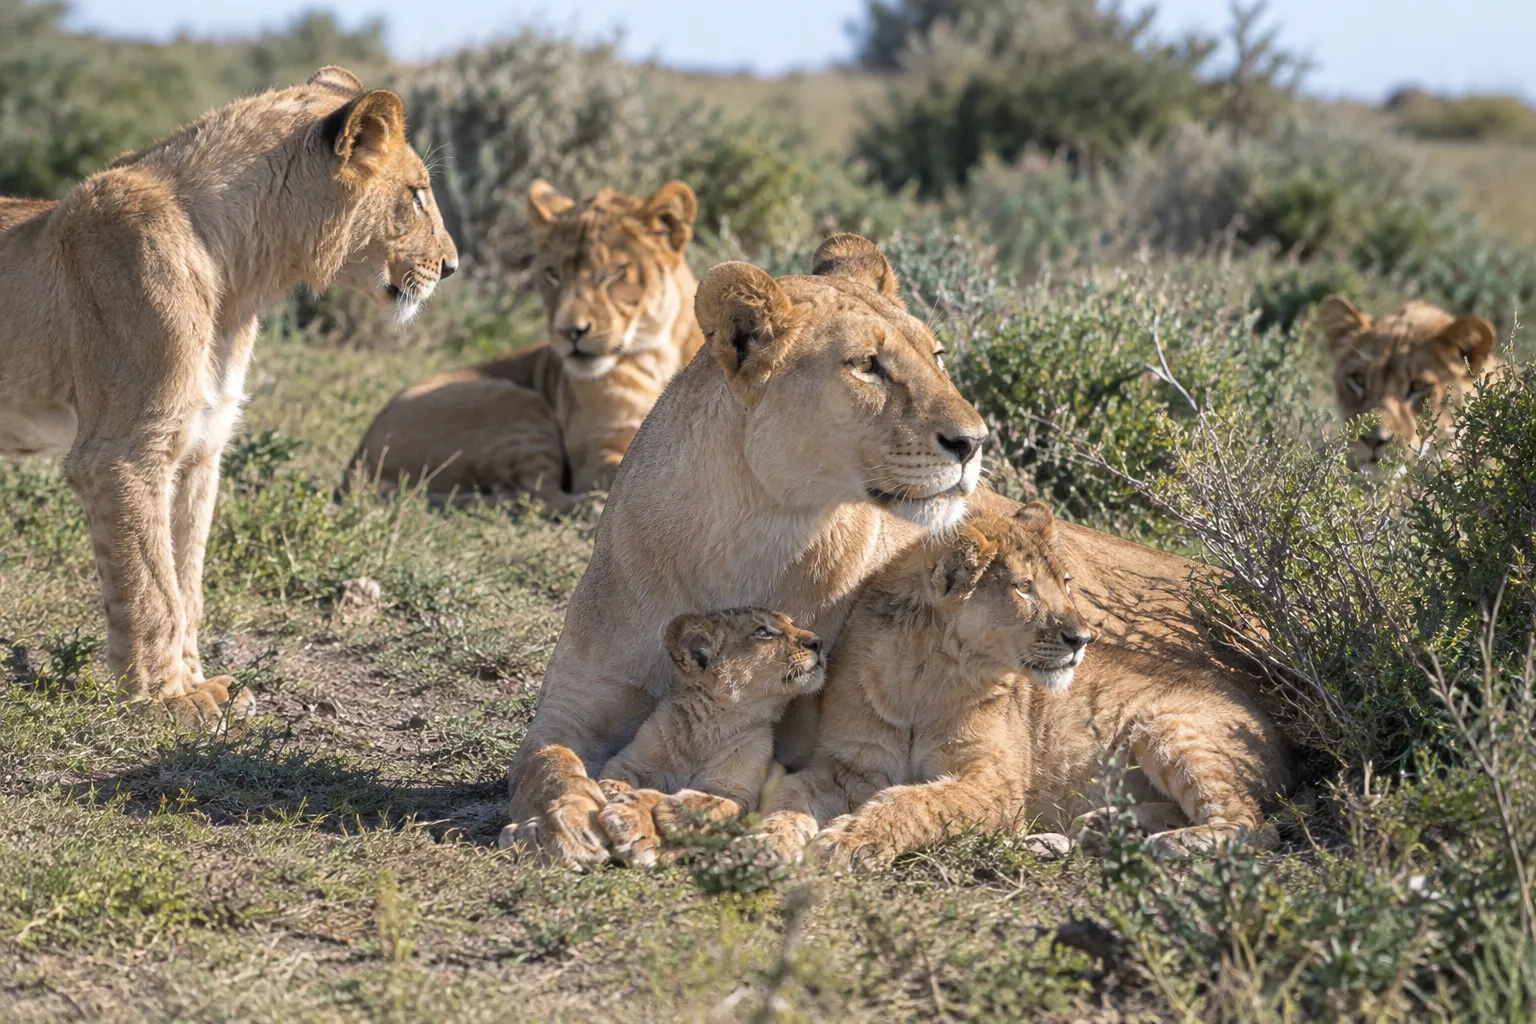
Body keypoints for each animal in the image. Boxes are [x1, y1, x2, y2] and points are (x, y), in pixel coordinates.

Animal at [0, 66, 457, 724]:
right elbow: (152, 585)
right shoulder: (122, 453)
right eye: (417, 194)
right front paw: (167, 699)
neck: (242, 271)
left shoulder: (200, 444)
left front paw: (197, 681)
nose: (451, 266)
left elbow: (185, 577)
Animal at [343, 180, 704, 509]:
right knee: (538, 494)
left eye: (613, 274)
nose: (569, 331)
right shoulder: (598, 450)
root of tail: (355, 458)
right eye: (553, 274)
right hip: (518, 409)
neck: (660, 354)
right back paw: (588, 505)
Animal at [594, 608, 825, 868]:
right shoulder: (629, 760)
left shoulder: (736, 791)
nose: (818, 642)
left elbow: (714, 803)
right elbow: (617, 778)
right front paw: (615, 795)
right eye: (763, 633)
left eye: (791, 623)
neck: (711, 725)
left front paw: (660, 814)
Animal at [751, 501, 1293, 869]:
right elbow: (787, 793)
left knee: (1256, 827)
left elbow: (915, 801)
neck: (924, 674)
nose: (1082, 638)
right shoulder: (848, 768)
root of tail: (1276, 730)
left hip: (1166, 727)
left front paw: (850, 841)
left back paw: (1168, 842)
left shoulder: (996, 783)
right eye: (1024, 587)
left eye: (1067, 582)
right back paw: (1097, 828)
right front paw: (767, 840)